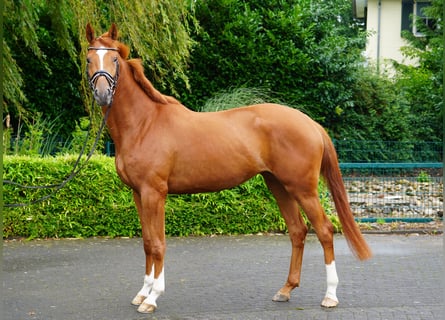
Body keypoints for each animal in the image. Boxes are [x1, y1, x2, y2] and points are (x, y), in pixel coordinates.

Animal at [85, 23, 370, 314]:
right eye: (88, 59)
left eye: (114, 59)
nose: (102, 94)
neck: (145, 124)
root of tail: (311, 123)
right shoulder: (138, 194)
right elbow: (145, 242)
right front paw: (142, 293)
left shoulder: (155, 193)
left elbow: (157, 243)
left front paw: (152, 298)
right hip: (278, 185)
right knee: (297, 231)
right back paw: (285, 290)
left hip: (303, 189)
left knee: (324, 230)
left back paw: (330, 295)